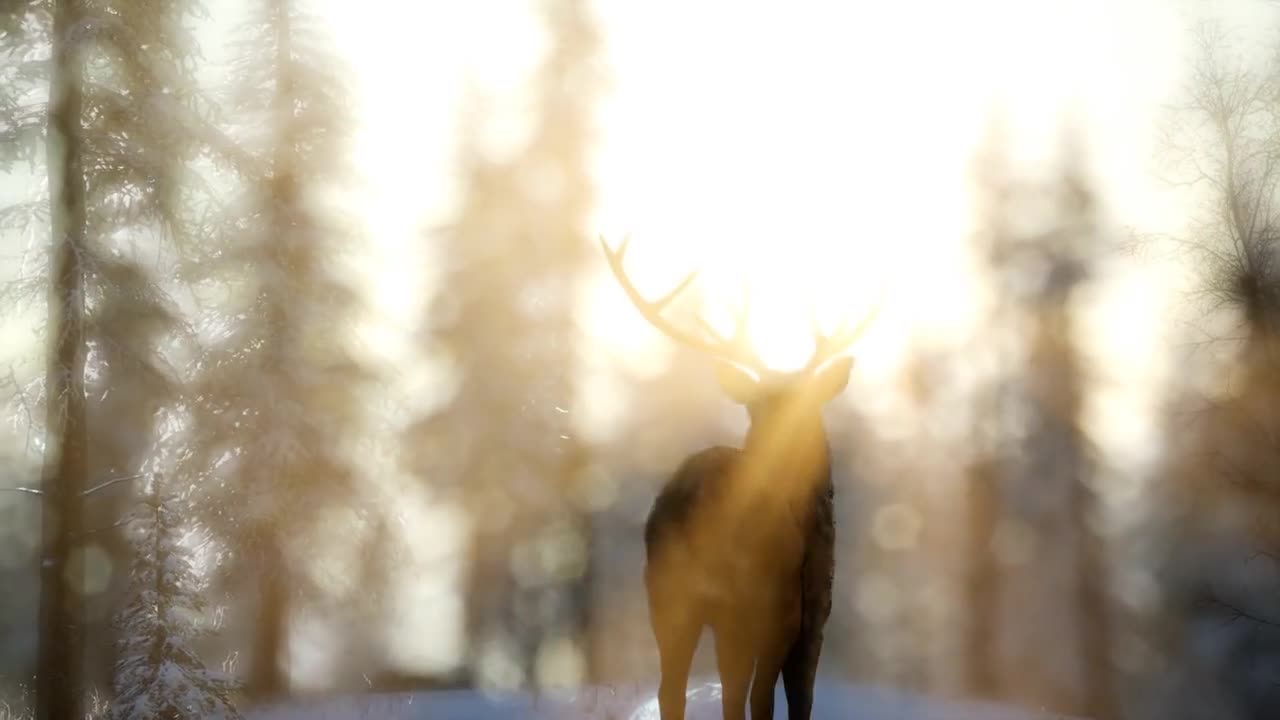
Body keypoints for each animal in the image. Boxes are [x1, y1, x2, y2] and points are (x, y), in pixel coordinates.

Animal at [599, 237, 880, 717]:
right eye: (757, 407)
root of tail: (686, 507)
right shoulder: (810, 613)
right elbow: (792, 701)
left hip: (665, 594)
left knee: (672, 688)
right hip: (749, 604)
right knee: (741, 692)